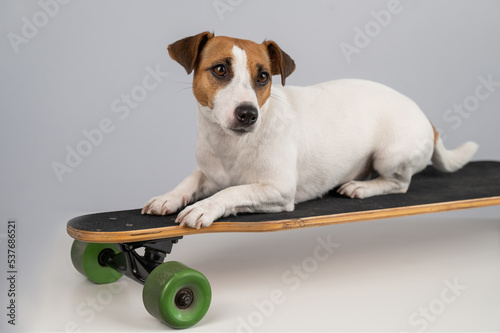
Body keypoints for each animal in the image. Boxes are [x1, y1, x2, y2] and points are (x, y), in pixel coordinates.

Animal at [141, 31, 476, 228]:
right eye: (220, 69)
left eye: (263, 77)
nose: (248, 114)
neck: (232, 145)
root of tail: (426, 118)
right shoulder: (209, 173)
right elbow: (191, 180)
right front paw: (168, 197)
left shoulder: (278, 190)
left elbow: (232, 191)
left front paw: (205, 207)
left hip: (390, 155)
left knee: (399, 184)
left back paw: (362, 187)